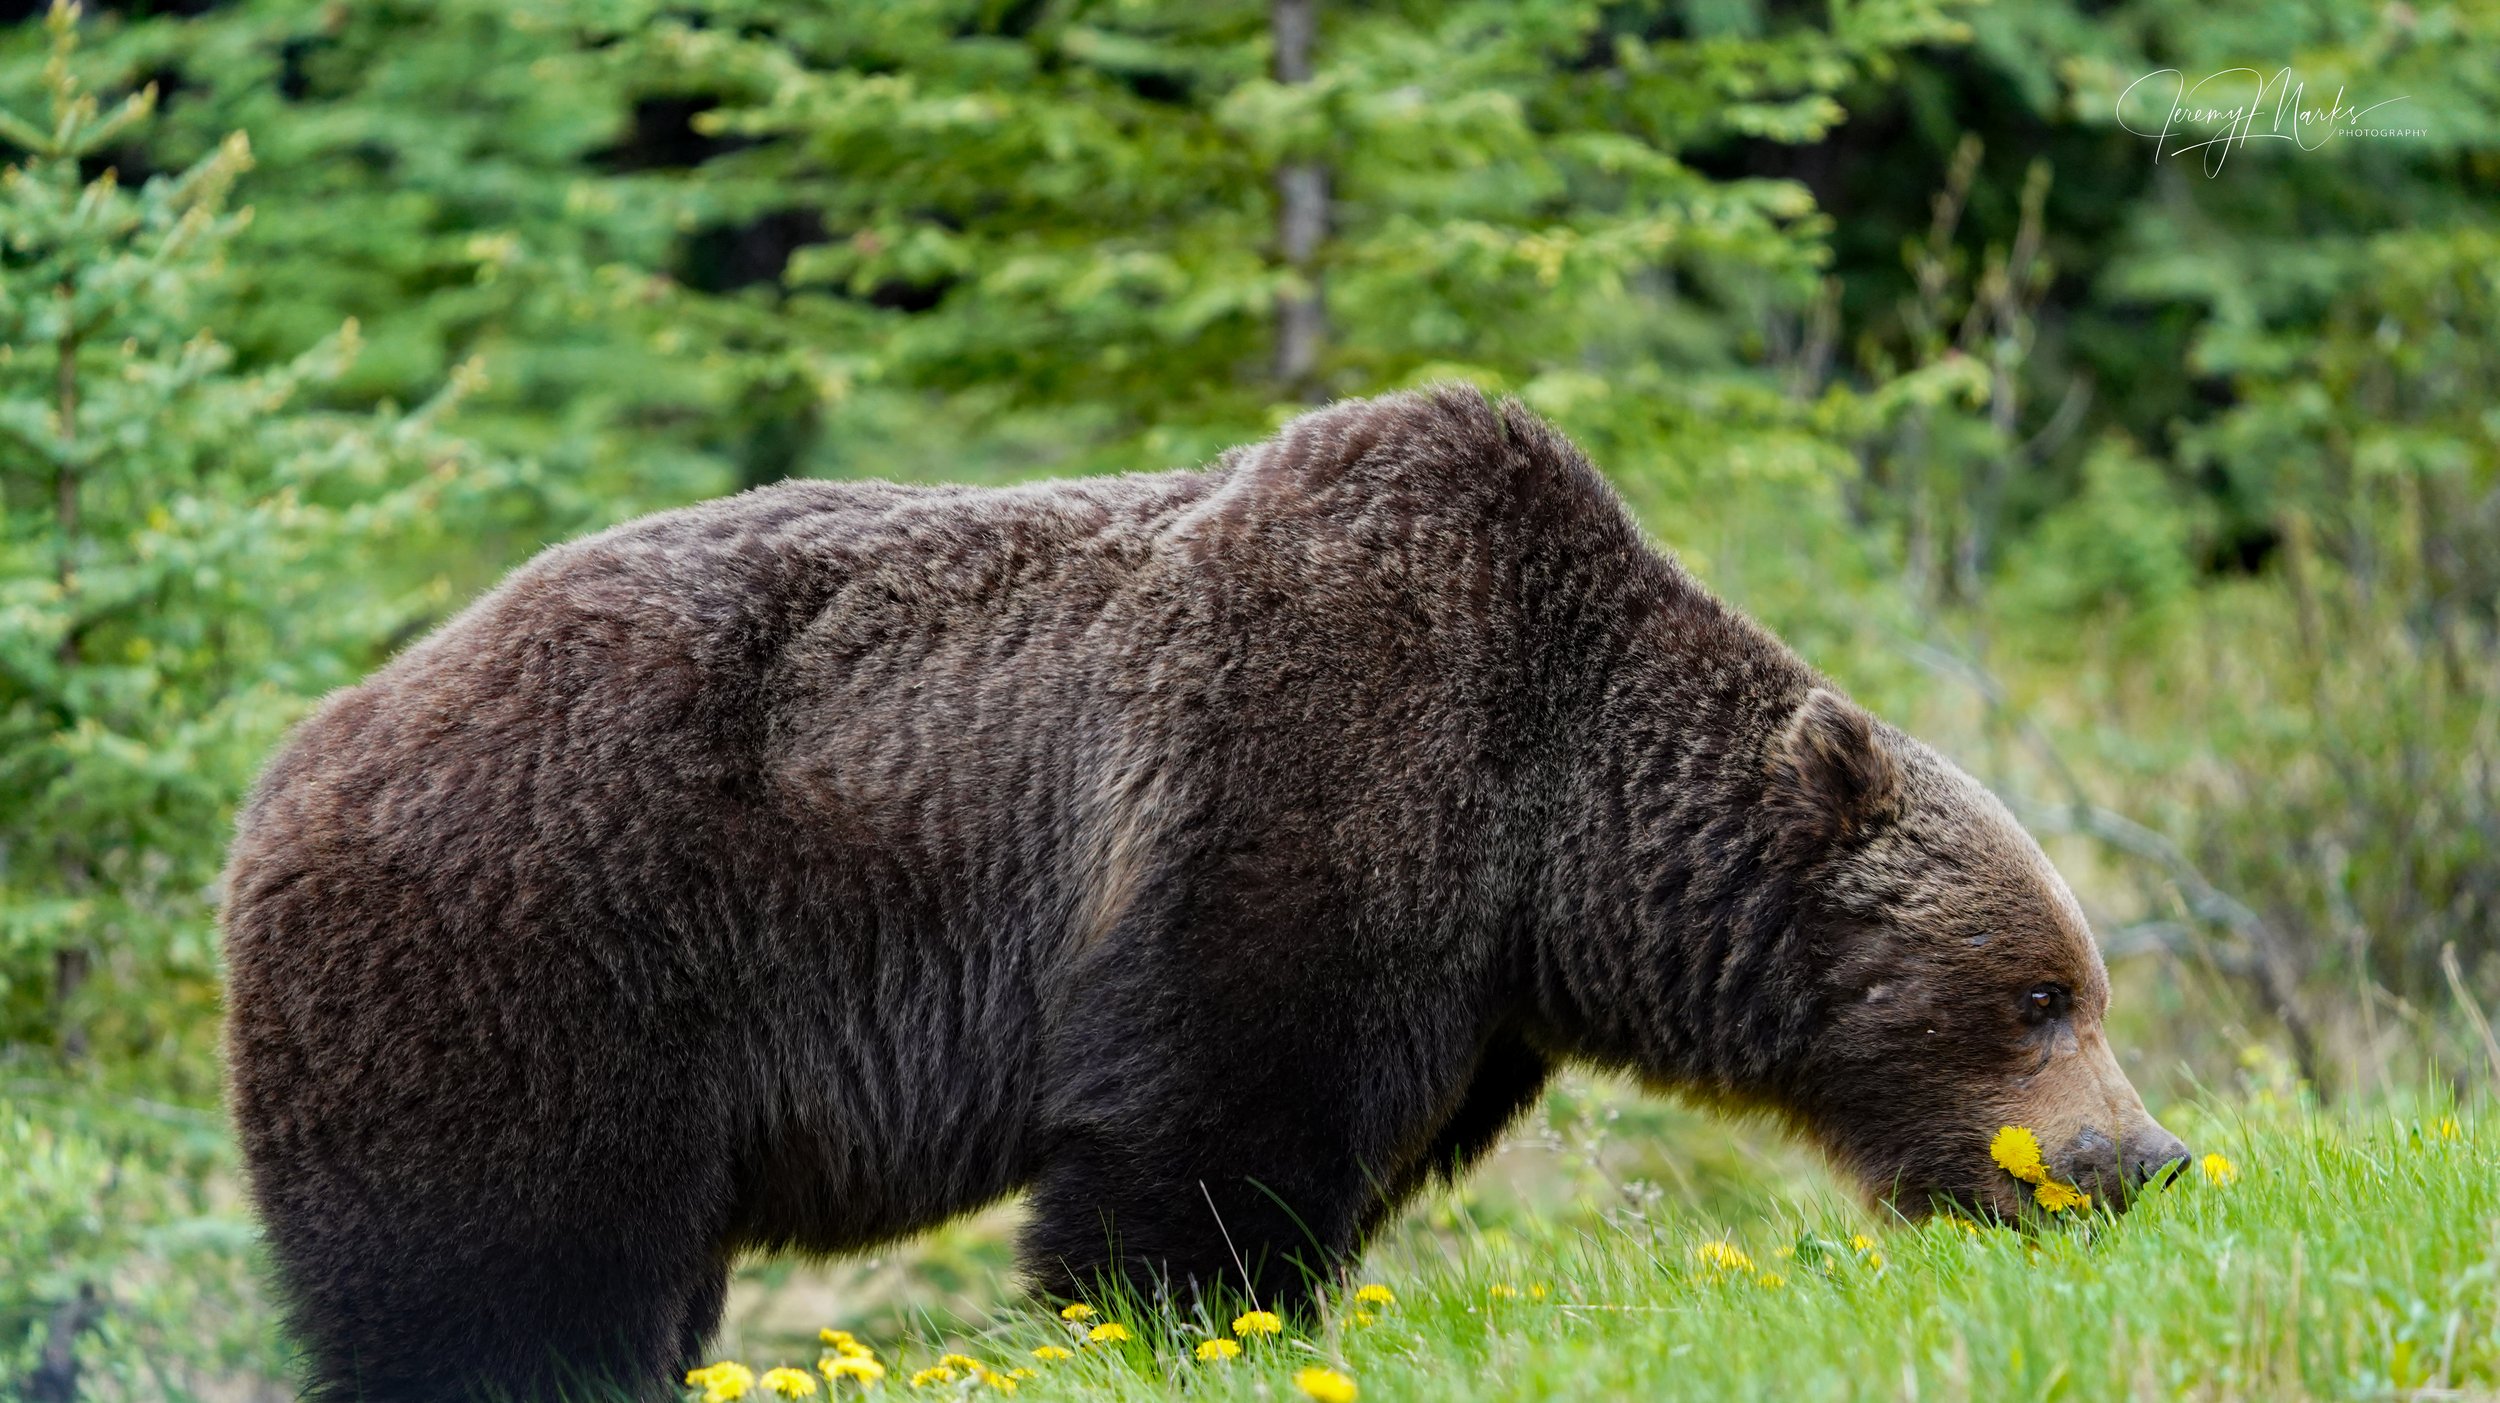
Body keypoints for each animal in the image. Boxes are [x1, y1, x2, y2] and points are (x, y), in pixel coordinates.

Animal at [222, 386, 2189, 1401]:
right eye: (2040, 993)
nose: (2139, 1159)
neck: (1554, 834)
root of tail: (295, 757)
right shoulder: (1300, 780)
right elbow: (1208, 1119)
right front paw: (1172, 1316)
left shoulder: (1477, 978)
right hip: (531, 962)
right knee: (503, 1275)